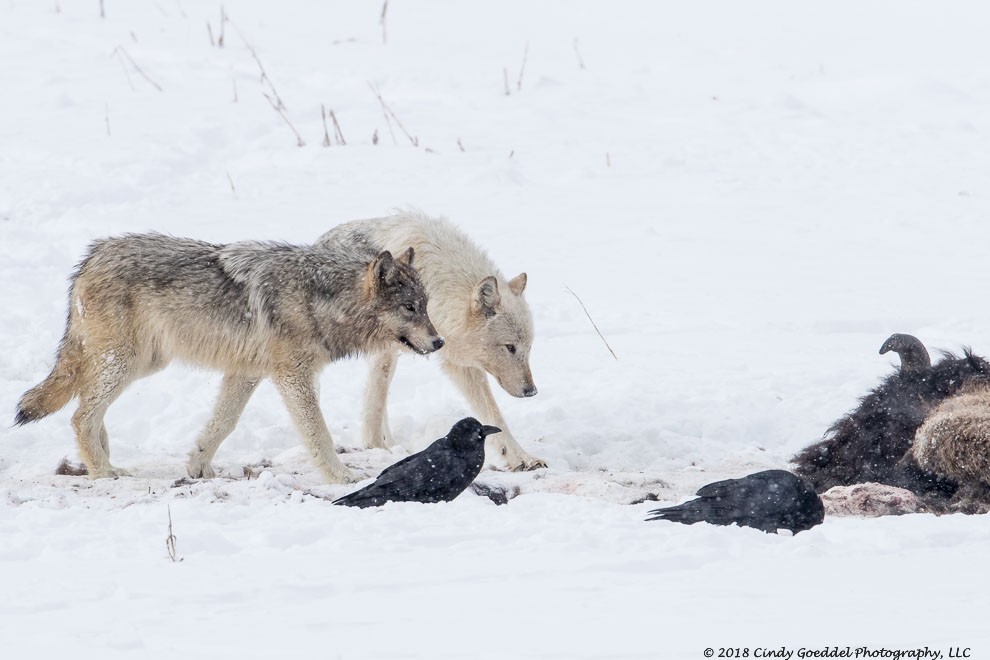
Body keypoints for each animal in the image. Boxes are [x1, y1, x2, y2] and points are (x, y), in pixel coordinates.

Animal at [14, 235, 442, 482]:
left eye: (426, 306)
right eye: (409, 308)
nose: (439, 342)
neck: (319, 300)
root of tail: (91, 256)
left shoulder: (246, 372)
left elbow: (223, 423)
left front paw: (200, 467)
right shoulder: (292, 377)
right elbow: (319, 434)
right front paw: (342, 476)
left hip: (141, 363)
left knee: (87, 406)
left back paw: (99, 459)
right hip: (126, 362)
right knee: (80, 415)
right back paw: (102, 471)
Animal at [320, 211, 548, 470]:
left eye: (528, 348)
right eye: (509, 347)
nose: (532, 391)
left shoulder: (460, 362)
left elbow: (493, 414)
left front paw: (522, 457)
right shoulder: (391, 351)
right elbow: (375, 402)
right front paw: (375, 447)